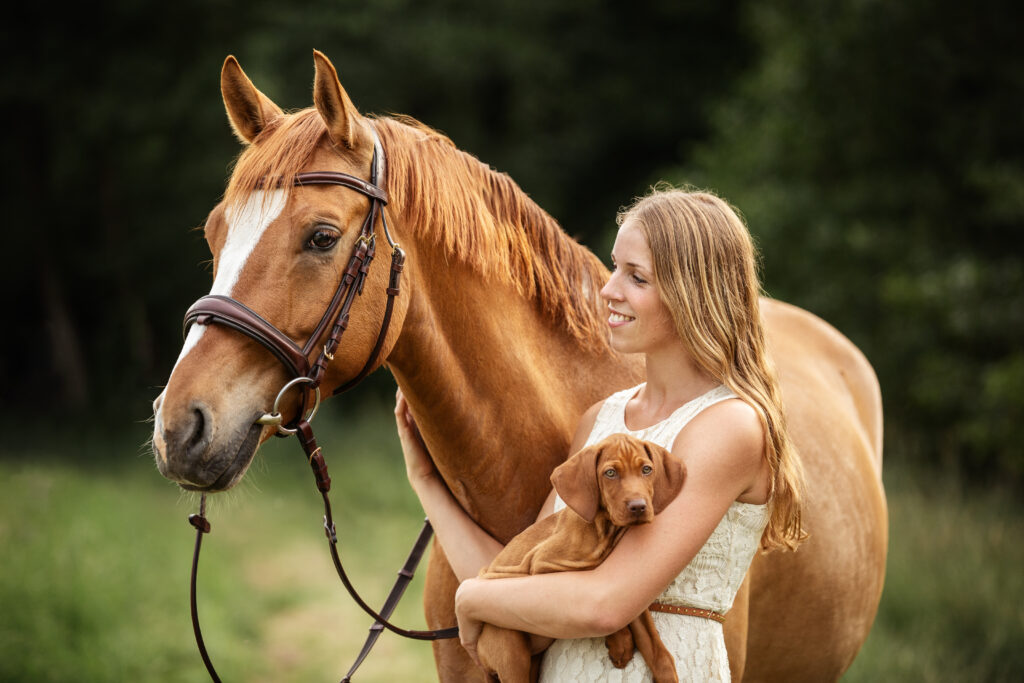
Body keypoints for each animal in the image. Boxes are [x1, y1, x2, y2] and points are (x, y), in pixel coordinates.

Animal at [475, 436, 684, 683]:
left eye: (646, 470)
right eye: (610, 473)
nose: (638, 507)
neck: (602, 529)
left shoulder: (627, 594)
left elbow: (653, 644)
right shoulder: (540, 564)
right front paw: (620, 643)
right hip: (509, 647)